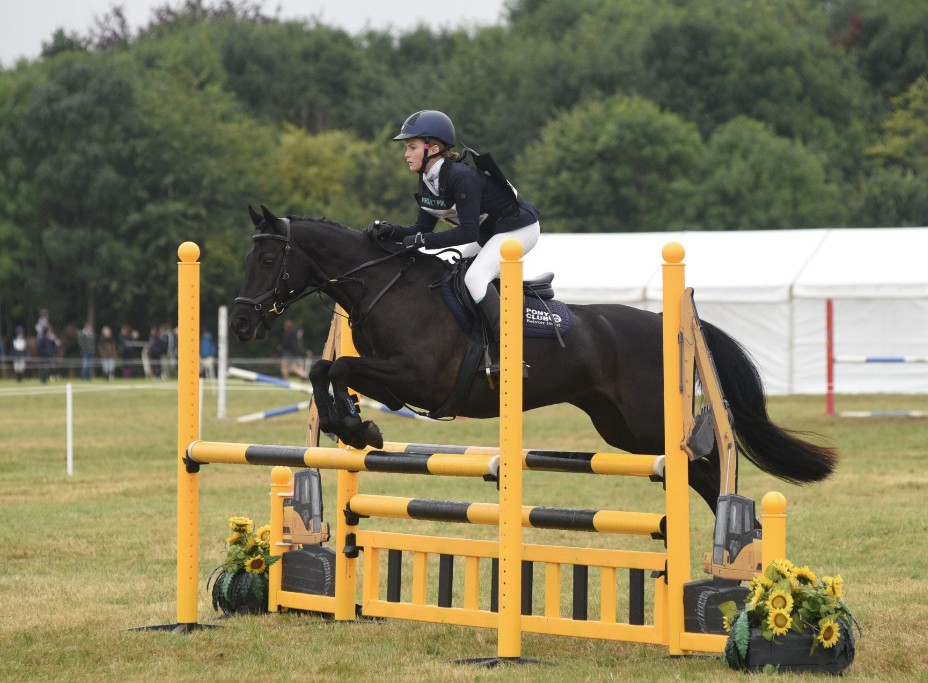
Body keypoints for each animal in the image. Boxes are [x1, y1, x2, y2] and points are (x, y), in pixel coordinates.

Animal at [230, 206, 836, 513]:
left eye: (269, 259)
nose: (240, 323)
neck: (386, 287)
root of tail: (667, 324)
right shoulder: (395, 380)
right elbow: (324, 371)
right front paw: (351, 424)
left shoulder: (417, 379)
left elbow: (338, 369)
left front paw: (359, 427)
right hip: (620, 427)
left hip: (645, 422)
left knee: (707, 467)